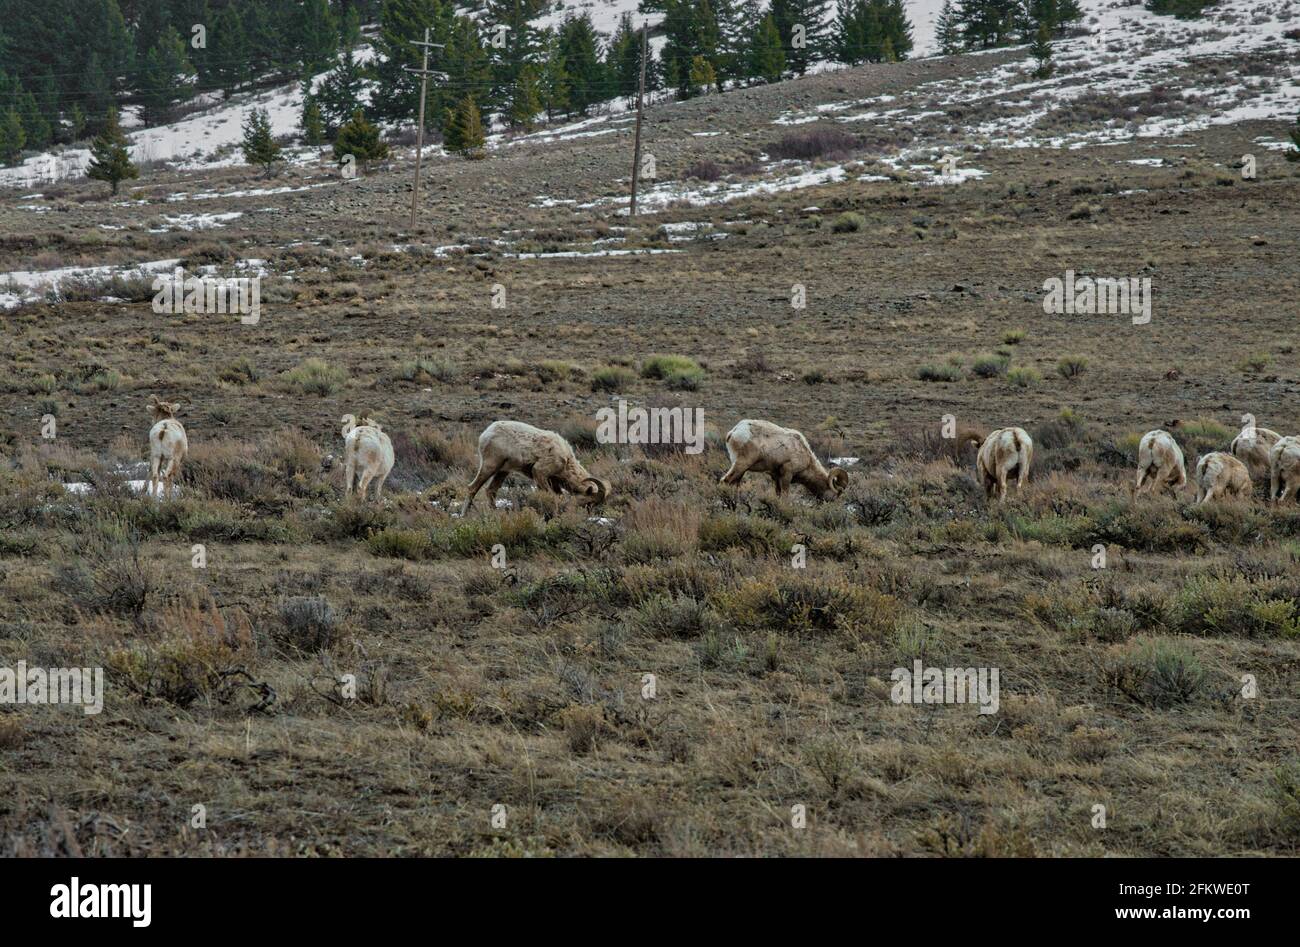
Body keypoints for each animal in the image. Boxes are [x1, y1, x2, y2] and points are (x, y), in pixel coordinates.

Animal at [463, 420, 610, 513]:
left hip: (503, 471)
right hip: (490, 466)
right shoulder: (539, 473)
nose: (589, 514)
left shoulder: (553, 481)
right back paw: (464, 515)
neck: (566, 460)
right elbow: (551, 496)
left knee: (491, 491)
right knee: (472, 488)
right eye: (589, 502)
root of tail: (486, 434)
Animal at [718, 419, 849, 499]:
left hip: (741, 469)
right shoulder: (787, 475)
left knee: (734, 484)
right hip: (741, 465)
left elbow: (778, 493)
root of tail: (733, 432)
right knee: (725, 481)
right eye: (837, 494)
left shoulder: (776, 477)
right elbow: (785, 496)